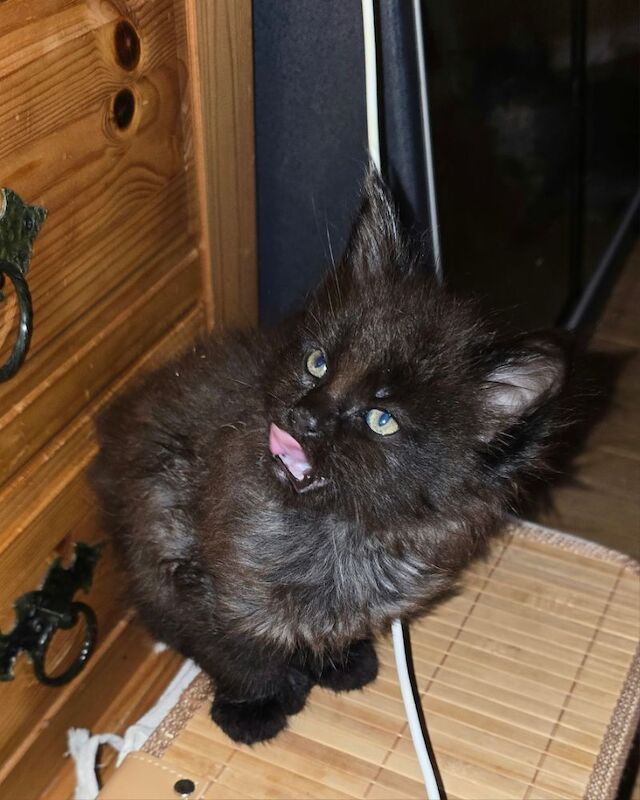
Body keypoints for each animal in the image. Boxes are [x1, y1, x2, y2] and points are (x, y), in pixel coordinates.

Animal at [91, 169, 568, 744]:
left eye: (381, 419)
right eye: (317, 363)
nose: (304, 416)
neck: (342, 532)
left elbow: (330, 628)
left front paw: (337, 663)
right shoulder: (192, 565)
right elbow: (237, 653)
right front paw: (257, 706)